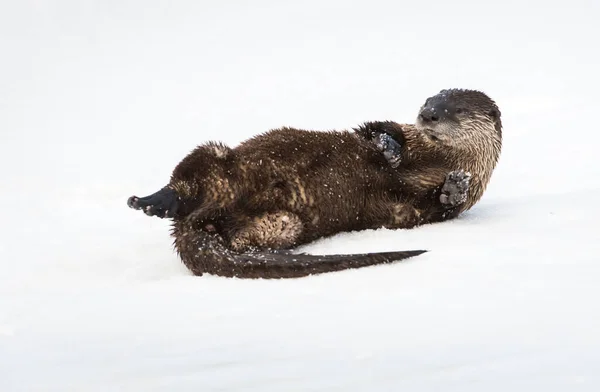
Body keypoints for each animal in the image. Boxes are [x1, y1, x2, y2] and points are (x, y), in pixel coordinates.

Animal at [127, 89, 502, 278]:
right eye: (428, 102)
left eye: (457, 110)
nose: (428, 115)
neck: (433, 160)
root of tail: (187, 226)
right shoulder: (399, 130)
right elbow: (373, 128)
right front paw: (388, 147)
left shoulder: (436, 204)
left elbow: (435, 209)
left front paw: (454, 187)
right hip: (220, 157)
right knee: (190, 174)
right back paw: (151, 202)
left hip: (283, 222)